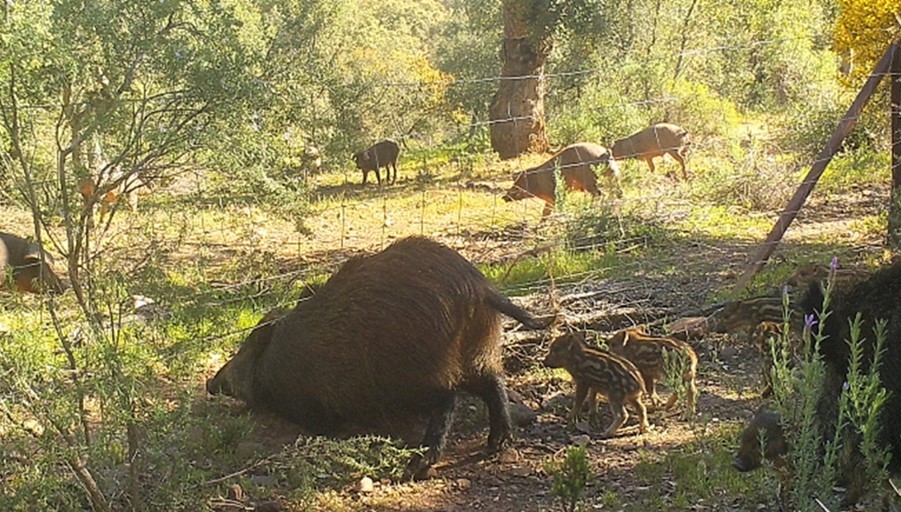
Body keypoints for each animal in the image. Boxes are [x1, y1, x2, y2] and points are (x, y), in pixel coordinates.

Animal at [207, 236, 548, 480]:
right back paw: (497, 444)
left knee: (448, 399)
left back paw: (416, 466)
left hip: (415, 374)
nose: (211, 382)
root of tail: (479, 288)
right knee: (493, 384)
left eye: (245, 349)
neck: (272, 366)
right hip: (477, 352)